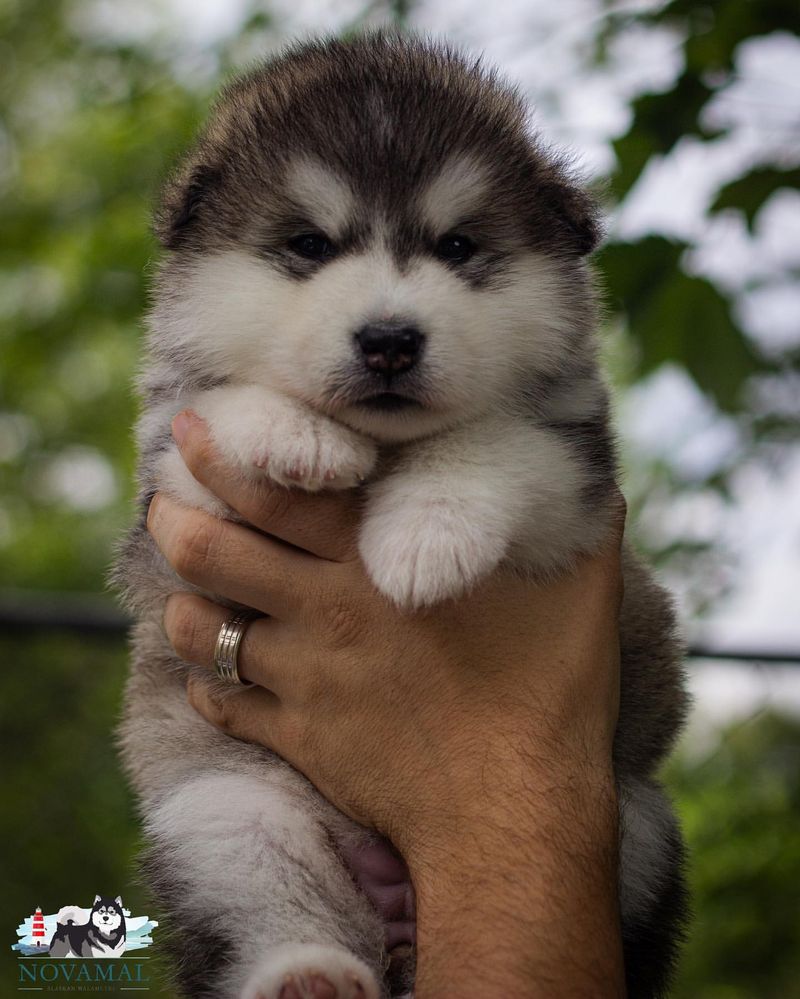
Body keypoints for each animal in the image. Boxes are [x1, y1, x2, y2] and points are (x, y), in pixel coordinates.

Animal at [115, 31, 692, 999]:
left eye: (458, 245)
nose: (389, 339)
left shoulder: (573, 479)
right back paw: (307, 973)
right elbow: (217, 413)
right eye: (308, 244)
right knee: (266, 906)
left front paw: (423, 539)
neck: (384, 445)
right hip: (227, 814)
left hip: (633, 822)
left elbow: (491, 439)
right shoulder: (171, 488)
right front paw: (296, 433)